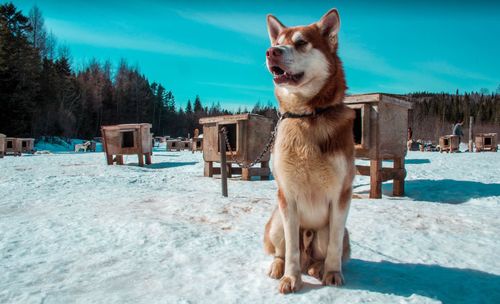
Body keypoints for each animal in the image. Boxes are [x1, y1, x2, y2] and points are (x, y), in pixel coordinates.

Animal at [262, 8, 356, 294]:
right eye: (276, 42)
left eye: (301, 42)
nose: (271, 52)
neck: (307, 115)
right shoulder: (288, 198)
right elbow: (291, 248)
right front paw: (291, 278)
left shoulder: (341, 196)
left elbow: (334, 246)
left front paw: (333, 274)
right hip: (276, 221)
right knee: (282, 251)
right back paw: (279, 267)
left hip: (333, 232)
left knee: (323, 251)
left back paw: (317, 268)